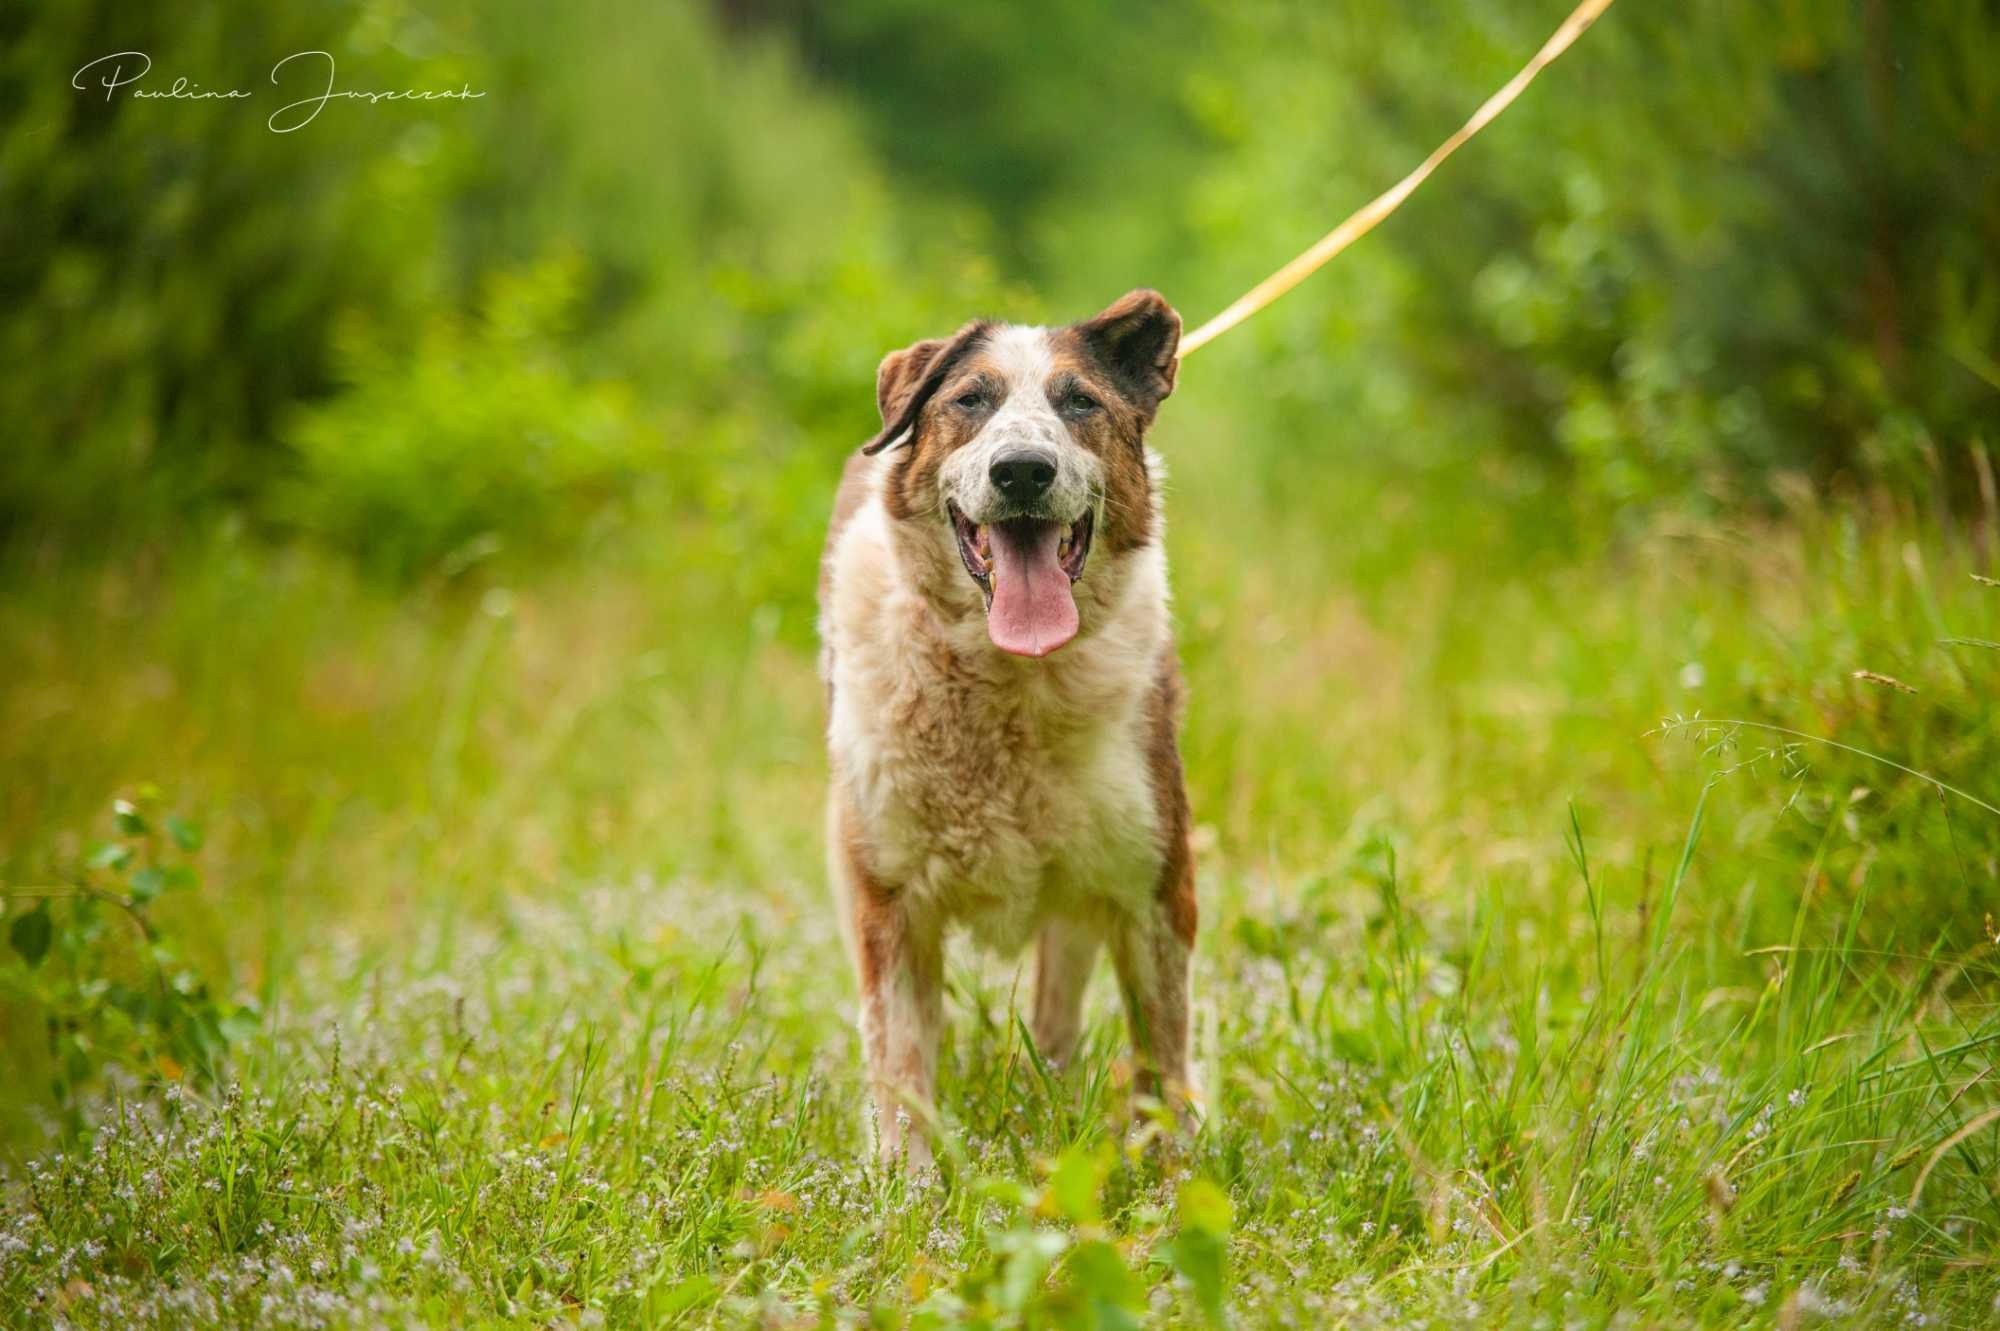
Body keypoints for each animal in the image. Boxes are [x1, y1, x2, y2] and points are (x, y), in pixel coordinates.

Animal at [816, 285, 1192, 1159]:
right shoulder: (888, 899)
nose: (1022, 469)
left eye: (1081, 402)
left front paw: (1178, 1177)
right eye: (969, 401)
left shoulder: (1154, 885)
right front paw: (904, 1186)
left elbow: (1165, 1063)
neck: (1006, 680)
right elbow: (901, 1073)